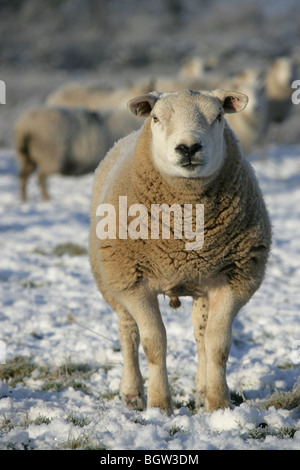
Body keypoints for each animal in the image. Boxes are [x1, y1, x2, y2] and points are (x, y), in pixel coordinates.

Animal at [88, 90, 272, 414]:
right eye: (156, 118)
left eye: (219, 117)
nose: (188, 147)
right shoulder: (133, 281)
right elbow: (153, 343)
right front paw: (160, 405)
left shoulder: (235, 278)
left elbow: (217, 344)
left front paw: (218, 405)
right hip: (111, 279)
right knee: (128, 332)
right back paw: (132, 394)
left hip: (204, 284)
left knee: (200, 335)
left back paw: (201, 391)